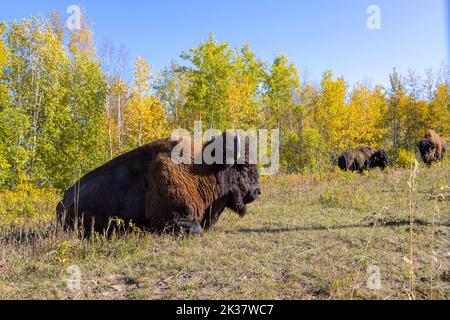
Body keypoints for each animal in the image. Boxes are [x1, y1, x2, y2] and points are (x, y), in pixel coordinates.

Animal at [56, 132, 260, 235]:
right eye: (243, 167)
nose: (257, 192)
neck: (205, 169)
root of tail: (62, 201)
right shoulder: (174, 219)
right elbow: (197, 230)